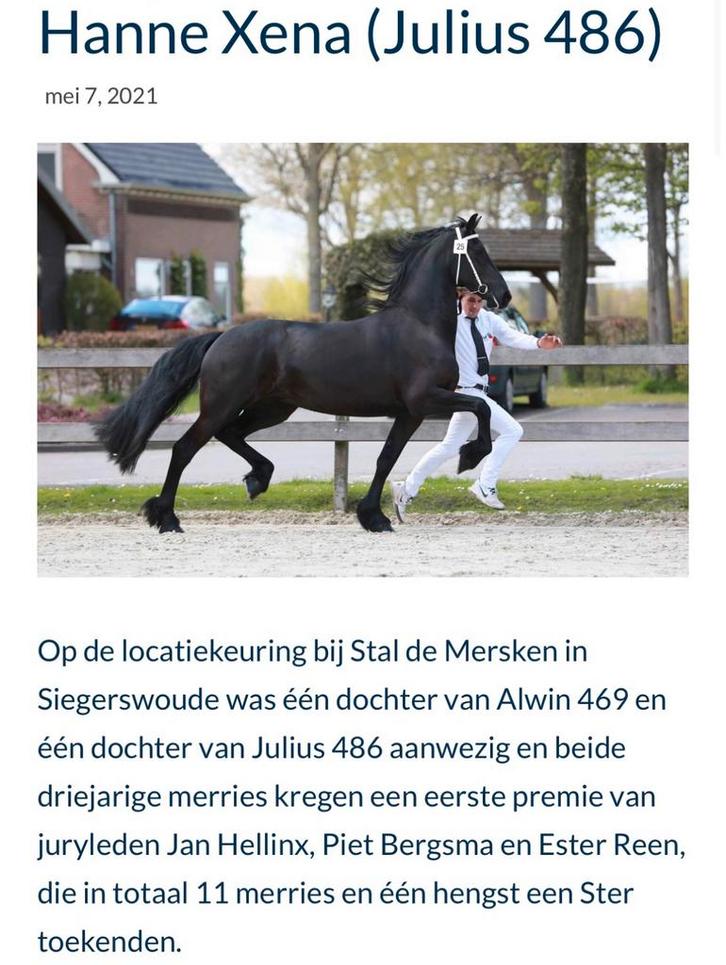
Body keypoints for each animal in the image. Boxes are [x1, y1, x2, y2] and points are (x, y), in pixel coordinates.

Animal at [96, 213, 511, 534]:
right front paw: (469, 456)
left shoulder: (410, 412)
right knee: (185, 447)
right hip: (222, 405)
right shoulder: (425, 400)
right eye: (478, 252)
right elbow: (480, 408)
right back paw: (167, 518)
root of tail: (221, 337)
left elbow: (386, 458)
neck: (419, 326)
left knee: (231, 434)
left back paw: (257, 479)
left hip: (273, 408)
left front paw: (373, 517)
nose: (504, 296)